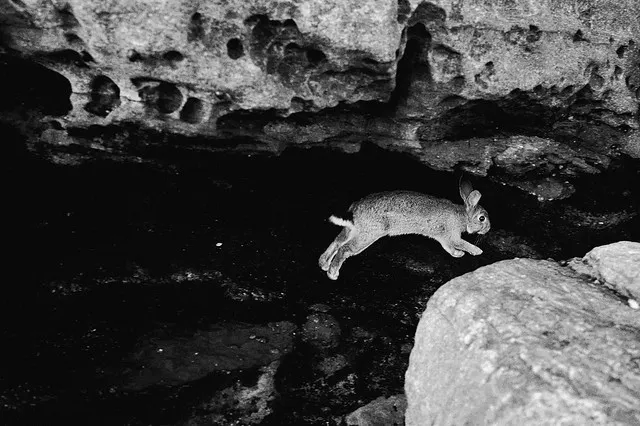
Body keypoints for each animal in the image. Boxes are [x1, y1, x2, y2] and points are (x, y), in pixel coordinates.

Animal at [318, 180, 490, 280]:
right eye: (482, 218)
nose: (488, 229)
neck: (463, 216)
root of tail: (354, 209)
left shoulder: (443, 238)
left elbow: (449, 249)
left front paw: (458, 254)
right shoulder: (451, 234)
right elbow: (462, 243)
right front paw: (477, 251)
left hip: (353, 230)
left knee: (337, 242)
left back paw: (324, 264)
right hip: (369, 234)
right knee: (345, 249)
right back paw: (332, 273)